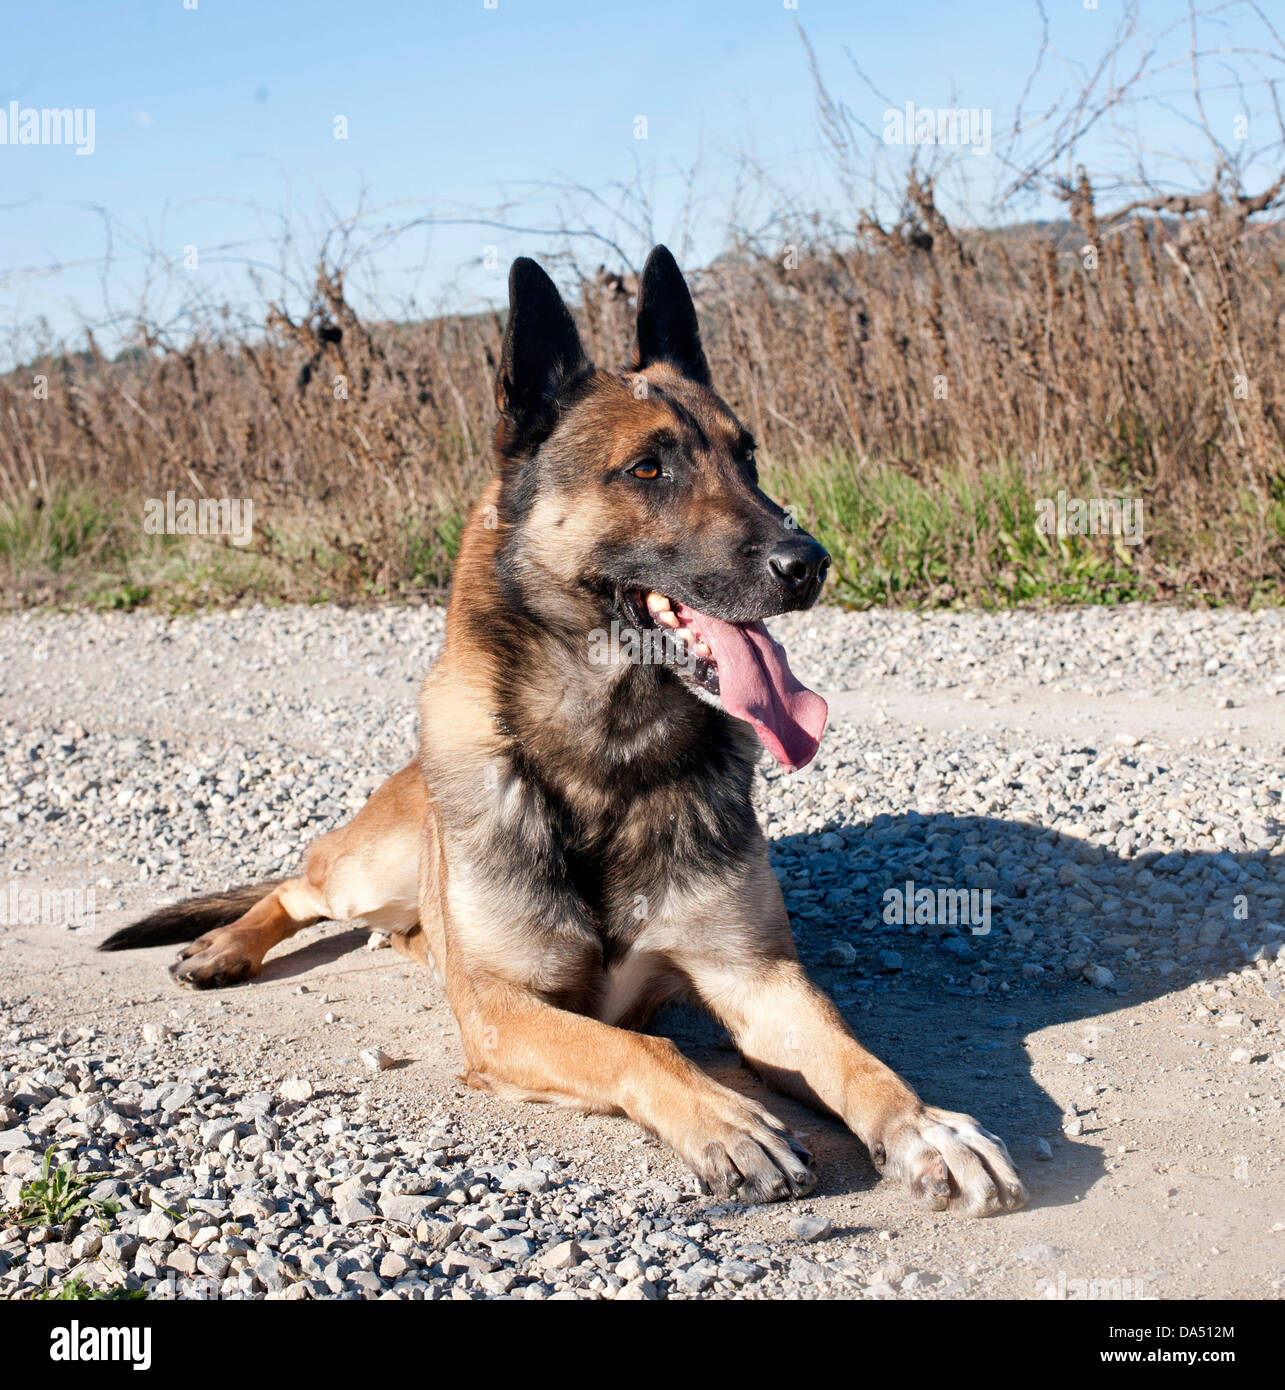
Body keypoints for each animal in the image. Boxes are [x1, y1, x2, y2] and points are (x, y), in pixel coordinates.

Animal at [102, 247, 1023, 1217]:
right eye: (648, 469)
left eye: (747, 456)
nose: (807, 563)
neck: (605, 753)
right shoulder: (505, 1011)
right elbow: (637, 1045)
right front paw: (723, 1116)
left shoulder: (757, 980)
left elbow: (854, 1057)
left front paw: (927, 1127)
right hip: (366, 873)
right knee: (293, 885)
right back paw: (224, 947)